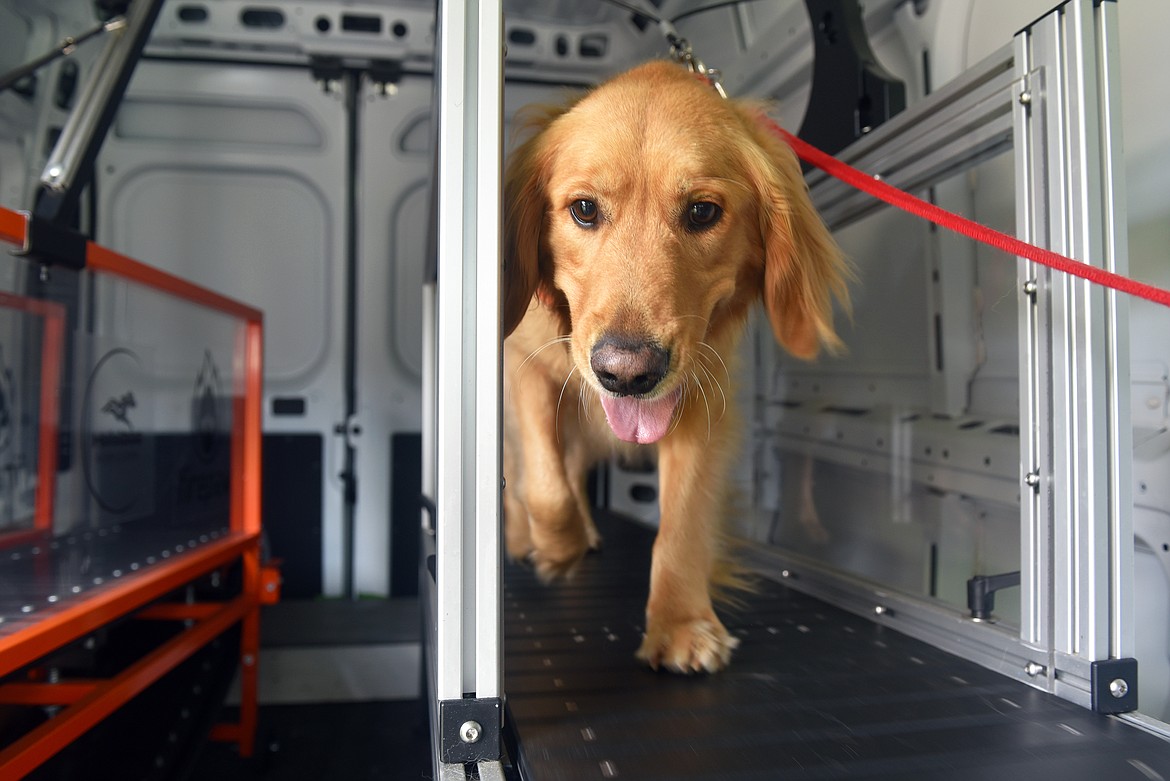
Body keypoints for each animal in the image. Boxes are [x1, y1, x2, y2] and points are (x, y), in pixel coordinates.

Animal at [503, 59, 851, 673]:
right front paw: (556, 548)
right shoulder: (523, 363)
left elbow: (683, 522)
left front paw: (681, 622)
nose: (627, 373)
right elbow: (543, 482)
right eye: (584, 209)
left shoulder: (700, 399)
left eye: (702, 212)